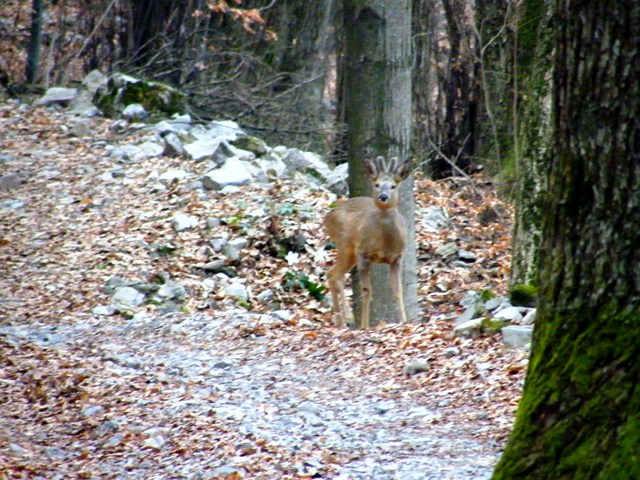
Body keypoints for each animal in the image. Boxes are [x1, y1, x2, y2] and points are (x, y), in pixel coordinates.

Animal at [322, 156, 412, 328]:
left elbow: (398, 291)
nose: (383, 197)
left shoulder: (397, 258)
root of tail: (327, 217)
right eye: (376, 184)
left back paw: (340, 322)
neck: (385, 242)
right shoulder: (363, 253)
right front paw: (364, 325)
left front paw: (405, 321)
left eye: (393, 186)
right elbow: (367, 292)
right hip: (345, 244)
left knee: (331, 273)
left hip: (350, 252)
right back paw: (347, 318)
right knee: (336, 275)